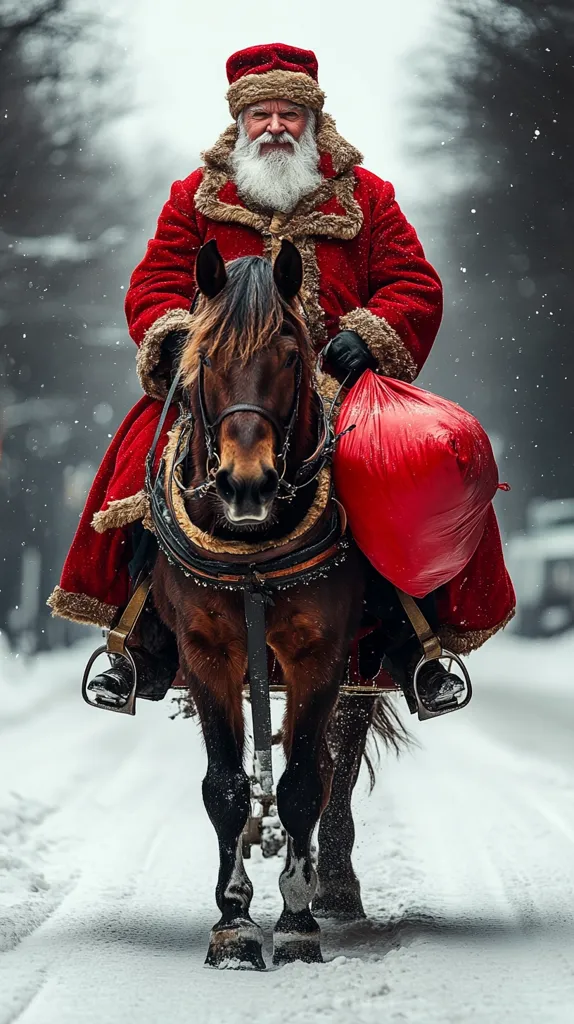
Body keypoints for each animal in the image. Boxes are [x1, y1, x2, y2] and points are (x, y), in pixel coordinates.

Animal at [150, 238, 406, 969]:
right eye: (204, 356)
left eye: (292, 355)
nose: (247, 485)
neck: (254, 546)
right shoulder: (207, 651)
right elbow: (225, 785)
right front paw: (233, 923)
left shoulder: (319, 655)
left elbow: (301, 784)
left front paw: (296, 922)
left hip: (356, 671)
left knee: (331, 769)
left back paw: (335, 888)